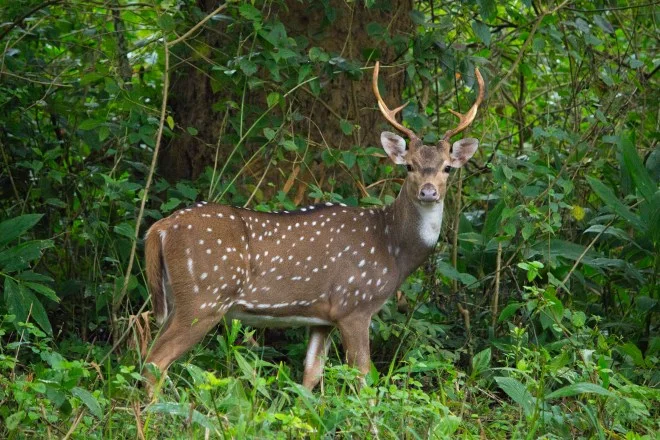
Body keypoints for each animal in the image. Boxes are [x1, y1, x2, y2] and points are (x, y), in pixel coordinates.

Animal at [143, 61, 485, 392]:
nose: (428, 191)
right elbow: (363, 380)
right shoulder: (354, 304)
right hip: (204, 297)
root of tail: (158, 229)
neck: (392, 248)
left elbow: (310, 376)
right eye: (409, 166)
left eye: (447, 168)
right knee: (154, 363)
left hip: (176, 299)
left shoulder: (322, 318)